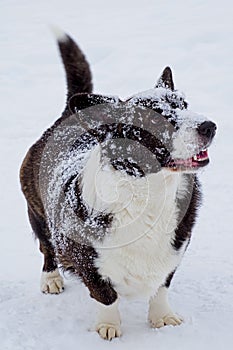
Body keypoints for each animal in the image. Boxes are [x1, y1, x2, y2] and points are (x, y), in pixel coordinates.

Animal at [20, 30, 217, 340]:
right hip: (36, 212)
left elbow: (161, 287)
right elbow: (105, 296)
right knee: (46, 248)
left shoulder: (175, 250)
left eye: (184, 105)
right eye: (154, 118)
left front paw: (163, 319)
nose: (210, 126)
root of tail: (67, 115)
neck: (152, 190)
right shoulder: (87, 260)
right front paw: (108, 327)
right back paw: (51, 279)